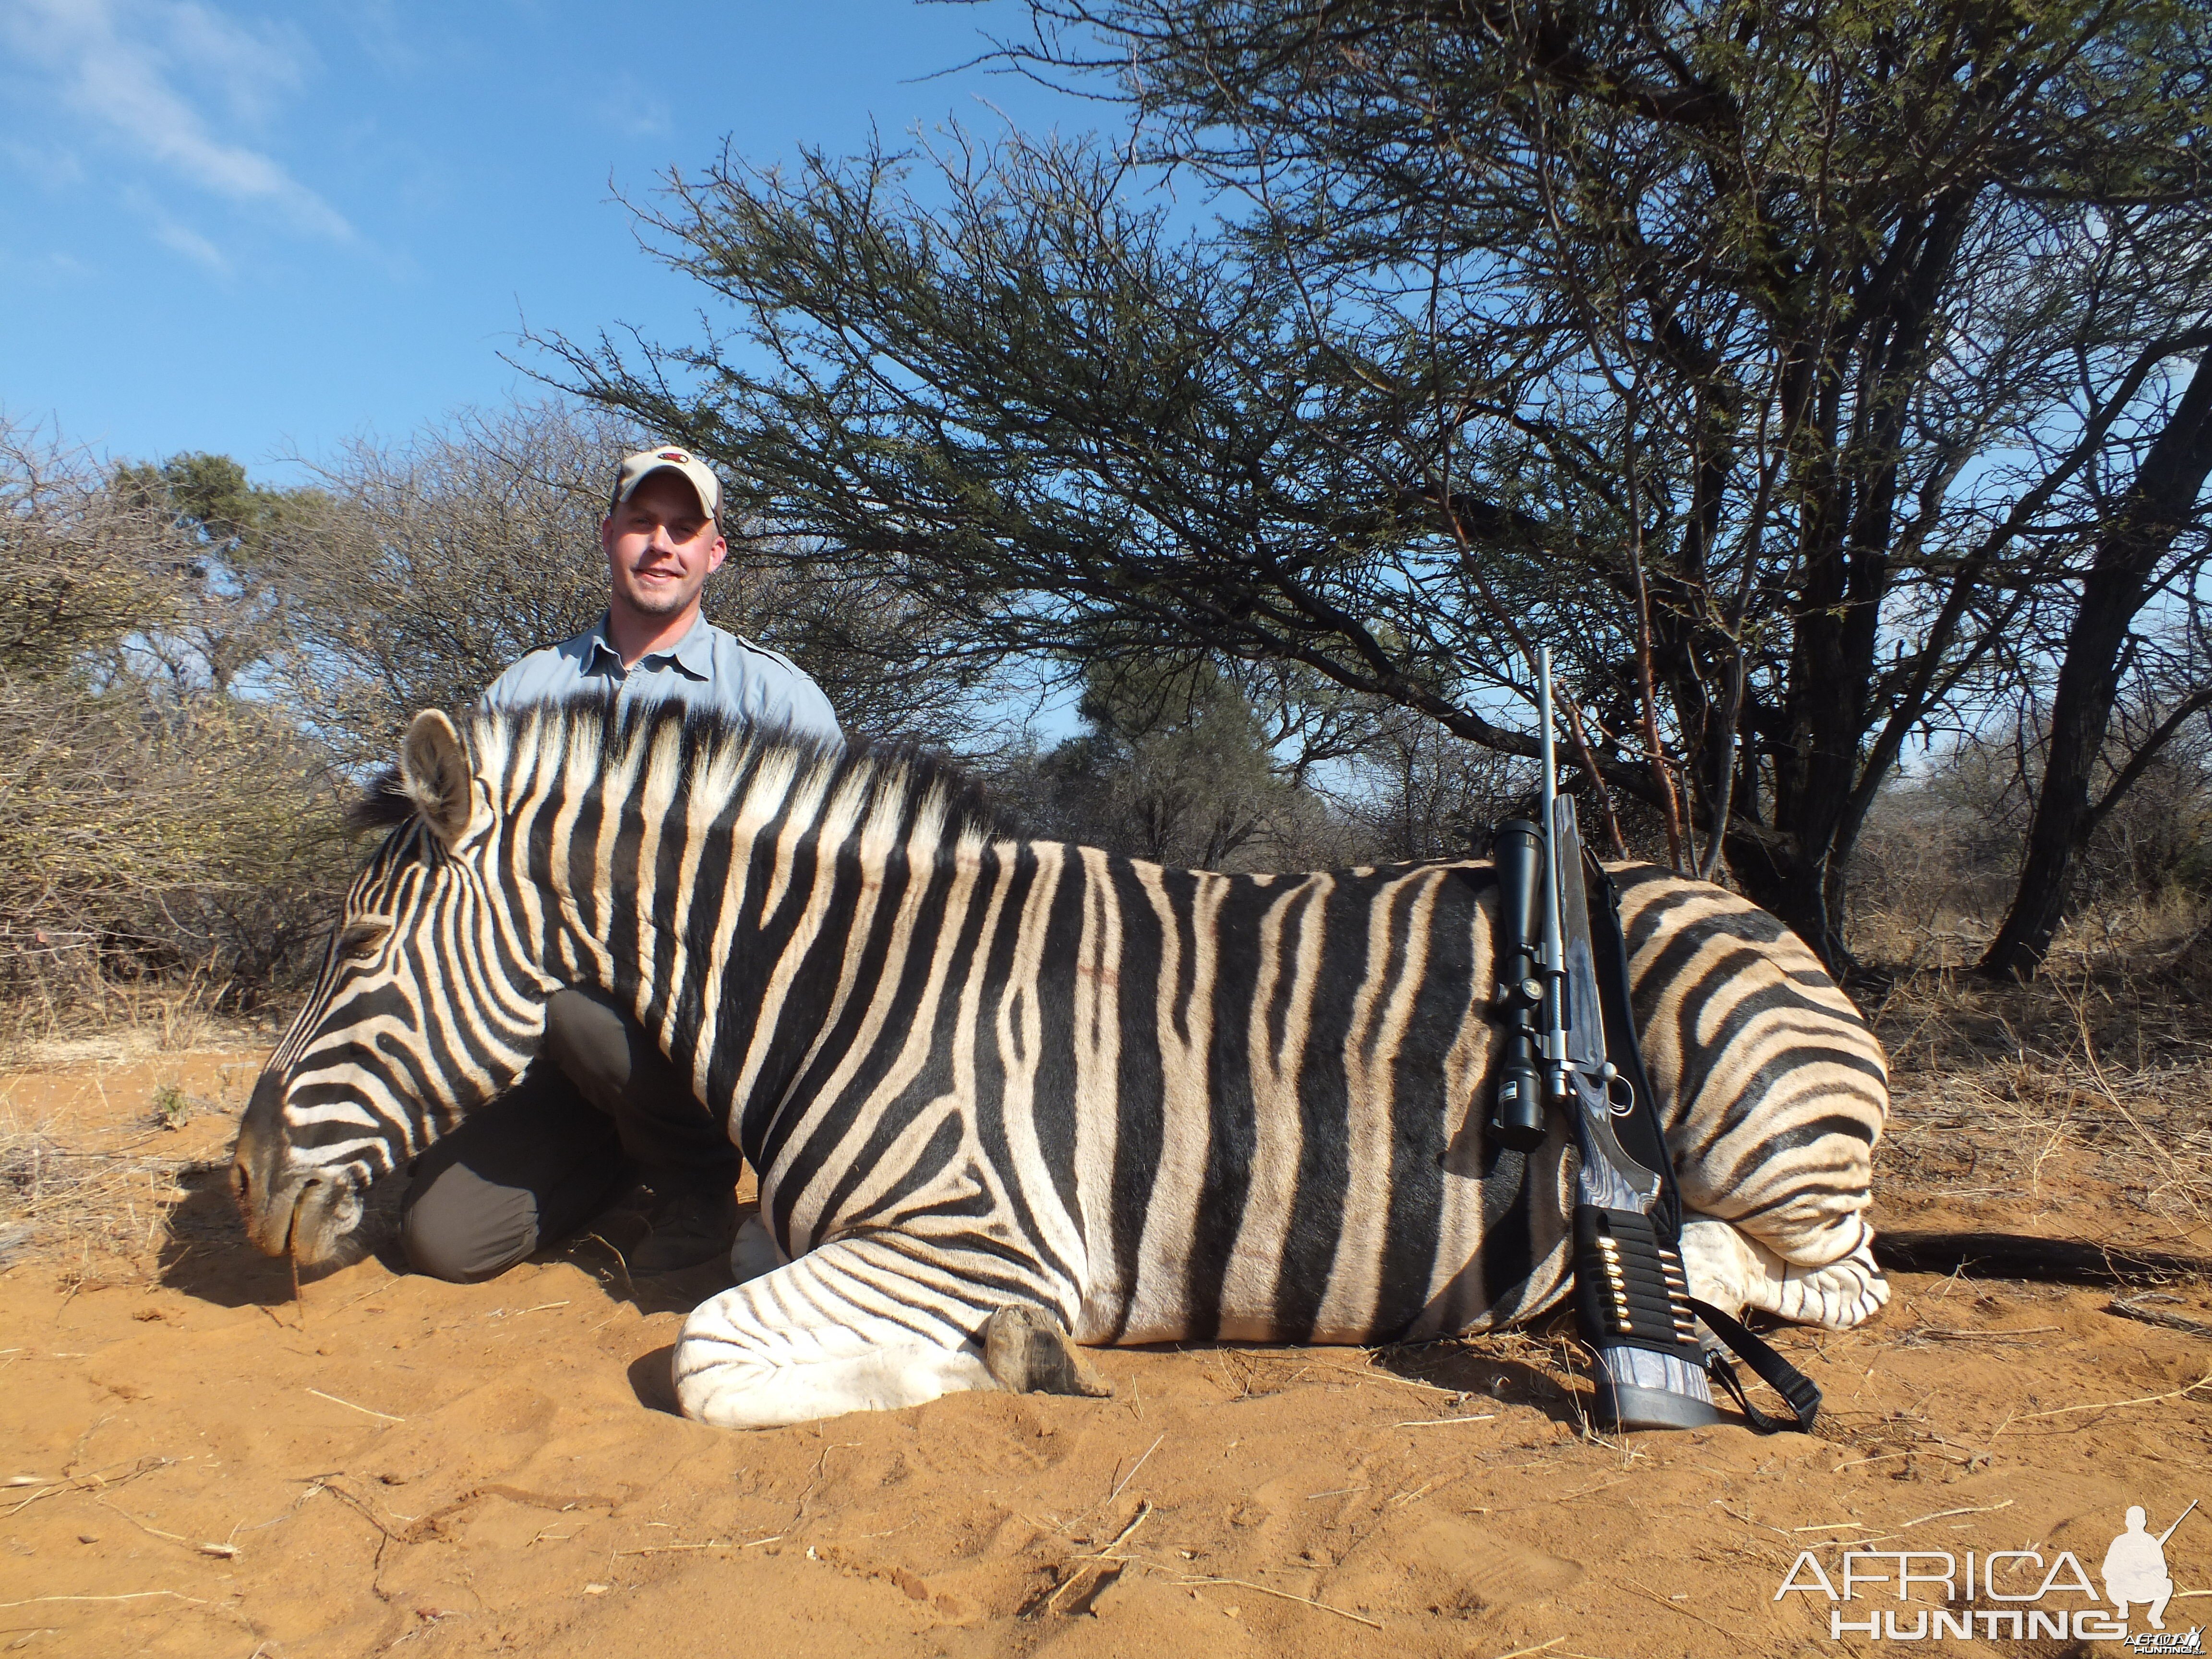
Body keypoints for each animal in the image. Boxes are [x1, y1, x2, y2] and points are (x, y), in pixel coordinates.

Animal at [233, 699, 1893, 1433]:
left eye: (357, 951)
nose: (243, 1183)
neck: (844, 982)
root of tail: (1744, 907)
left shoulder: (973, 1234)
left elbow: (703, 1357)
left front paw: (1014, 1354)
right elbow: (745, 1265)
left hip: (1762, 1133)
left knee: (1823, 1272)